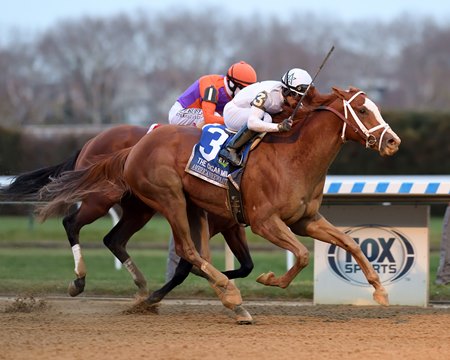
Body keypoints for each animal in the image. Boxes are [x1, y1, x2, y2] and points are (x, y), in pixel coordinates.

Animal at [0, 125, 253, 300]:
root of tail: (90, 141)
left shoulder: (231, 226)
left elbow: (246, 266)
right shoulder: (205, 224)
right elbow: (185, 265)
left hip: (139, 209)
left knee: (114, 238)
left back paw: (140, 283)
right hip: (100, 199)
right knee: (72, 223)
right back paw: (79, 279)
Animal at [39, 87, 400, 324]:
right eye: (363, 110)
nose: (393, 141)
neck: (293, 156)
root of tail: (135, 147)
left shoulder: (304, 219)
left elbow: (350, 243)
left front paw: (379, 291)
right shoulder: (263, 221)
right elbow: (301, 254)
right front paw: (270, 280)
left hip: (160, 208)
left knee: (122, 240)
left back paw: (148, 291)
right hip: (161, 199)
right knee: (182, 248)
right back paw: (229, 297)